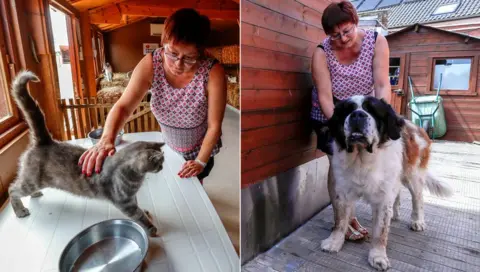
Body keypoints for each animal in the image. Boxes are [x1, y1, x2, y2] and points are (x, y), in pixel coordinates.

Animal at [7, 70, 163, 236]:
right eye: (161, 162)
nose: (162, 167)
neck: (136, 176)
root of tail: (46, 141)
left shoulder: (131, 197)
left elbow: (140, 208)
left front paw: (146, 213)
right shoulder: (125, 202)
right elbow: (138, 214)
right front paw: (151, 227)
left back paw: (35, 194)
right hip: (31, 181)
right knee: (13, 189)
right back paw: (20, 210)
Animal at [320, 95, 452, 270]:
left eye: (372, 111)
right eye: (348, 110)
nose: (357, 115)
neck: (361, 159)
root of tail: (417, 127)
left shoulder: (382, 199)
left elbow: (380, 232)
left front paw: (378, 256)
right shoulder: (343, 192)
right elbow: (340, 220)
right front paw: (335, 241)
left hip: (412, 176)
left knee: (418, 198)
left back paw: (417, 221)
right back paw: (395, 214)